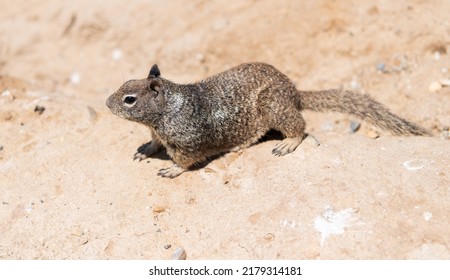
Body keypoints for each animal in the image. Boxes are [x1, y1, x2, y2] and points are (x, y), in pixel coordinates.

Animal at [104, 62, 428, 178]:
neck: (166, 110)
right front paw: (145, 149)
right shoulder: (158, 132)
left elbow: (186, 160)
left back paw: (288, 143)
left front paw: (172, 169)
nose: (106, 103)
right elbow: (154, 142)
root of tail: (294, 91)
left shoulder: (188, 141)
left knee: (300, 127)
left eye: (129, 99)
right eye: (124, 83)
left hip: (273, 106)